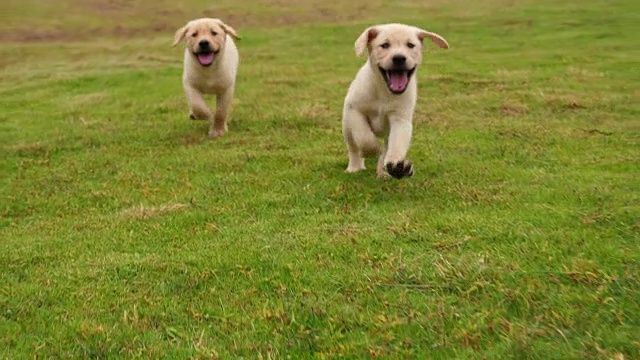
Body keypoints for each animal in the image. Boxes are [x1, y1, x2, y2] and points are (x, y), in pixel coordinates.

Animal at [342, 23, 448, 179]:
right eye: (385, 45)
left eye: (410, 45)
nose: (399, 58)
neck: (383, 91)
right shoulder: (355, 110)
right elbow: (364, 137)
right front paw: (373, 149)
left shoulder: (400, 119)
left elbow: (397, 144)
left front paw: (396, 165)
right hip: (346, 127)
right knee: (353, 147)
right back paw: (355, 167)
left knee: (387, 147)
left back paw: (386, 171)